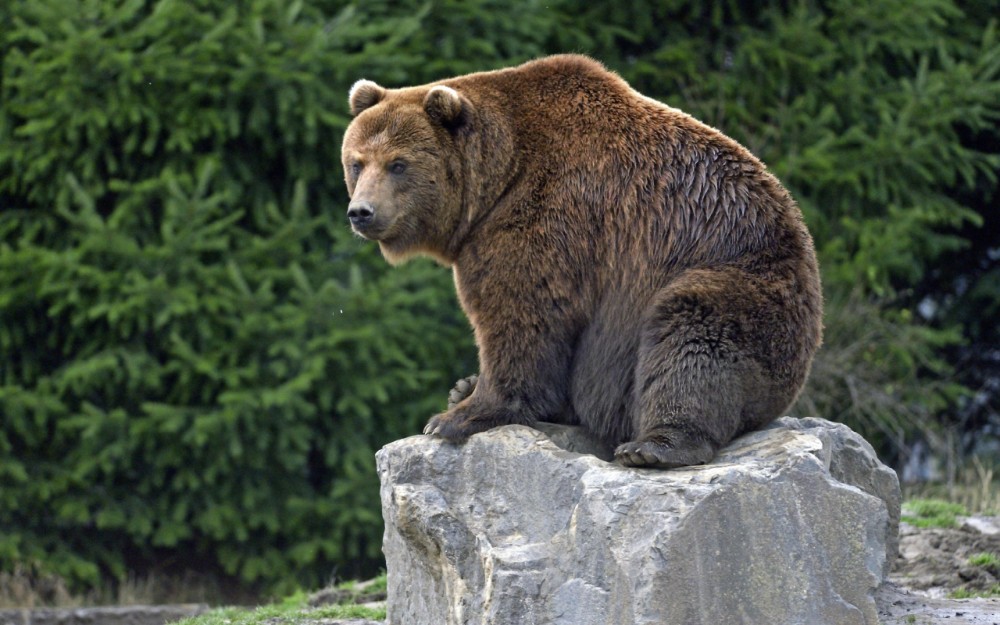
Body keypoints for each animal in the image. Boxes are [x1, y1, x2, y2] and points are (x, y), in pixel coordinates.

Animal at [342, 54, 820, 468]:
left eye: (398, 164)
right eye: (356, 162)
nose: (361, 212)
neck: (498, 179)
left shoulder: (548, 216)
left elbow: (522, 311)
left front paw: (455, 418)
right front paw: (466, 392)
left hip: (747, 282)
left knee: (693, 331)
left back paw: (654, 446)